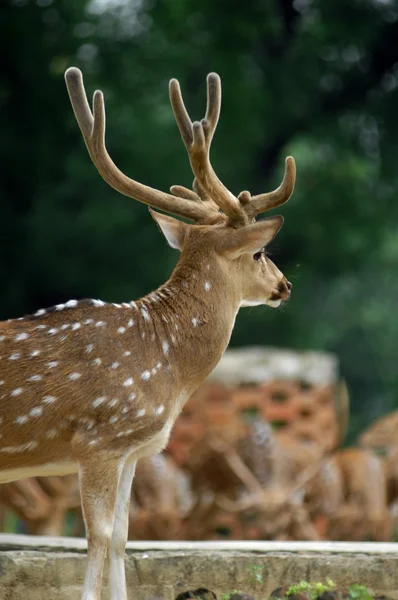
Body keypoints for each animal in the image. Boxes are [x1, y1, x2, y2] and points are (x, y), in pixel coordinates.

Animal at [0, 67, 296, 600]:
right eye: (261, 252)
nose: (285, 285)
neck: (167, 368)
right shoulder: (97, 438)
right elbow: (96, 538)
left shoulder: (132, 450)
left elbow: (122, 537)